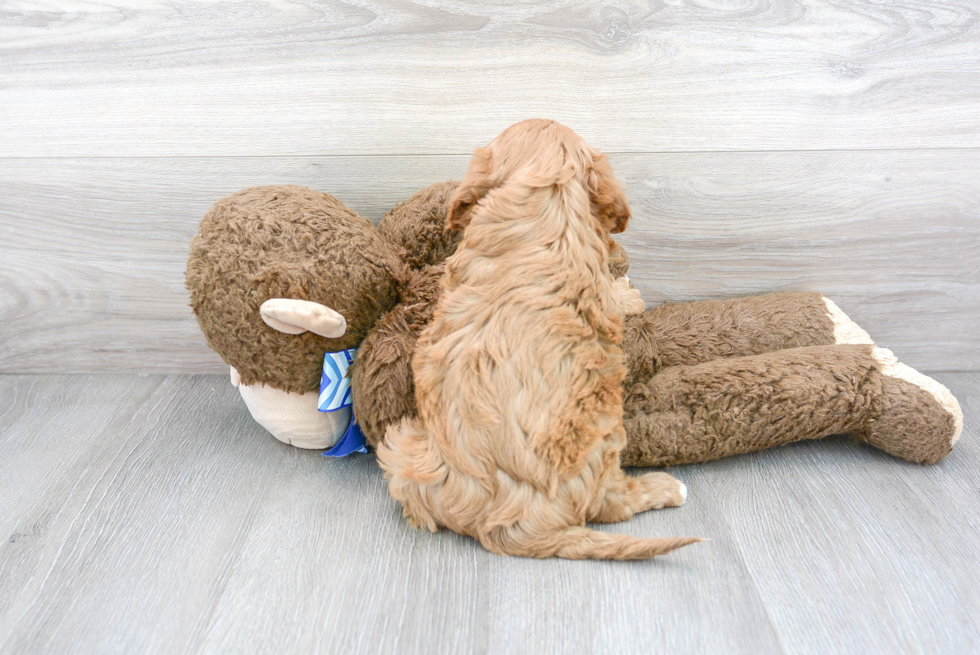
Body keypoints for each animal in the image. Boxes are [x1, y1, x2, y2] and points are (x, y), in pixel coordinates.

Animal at [378, 120, 704, 560]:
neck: (548, 198)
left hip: (405, 451)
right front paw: (629, 294)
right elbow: (614, 292)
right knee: (613, 504)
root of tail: (524, 528)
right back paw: (666, 486)